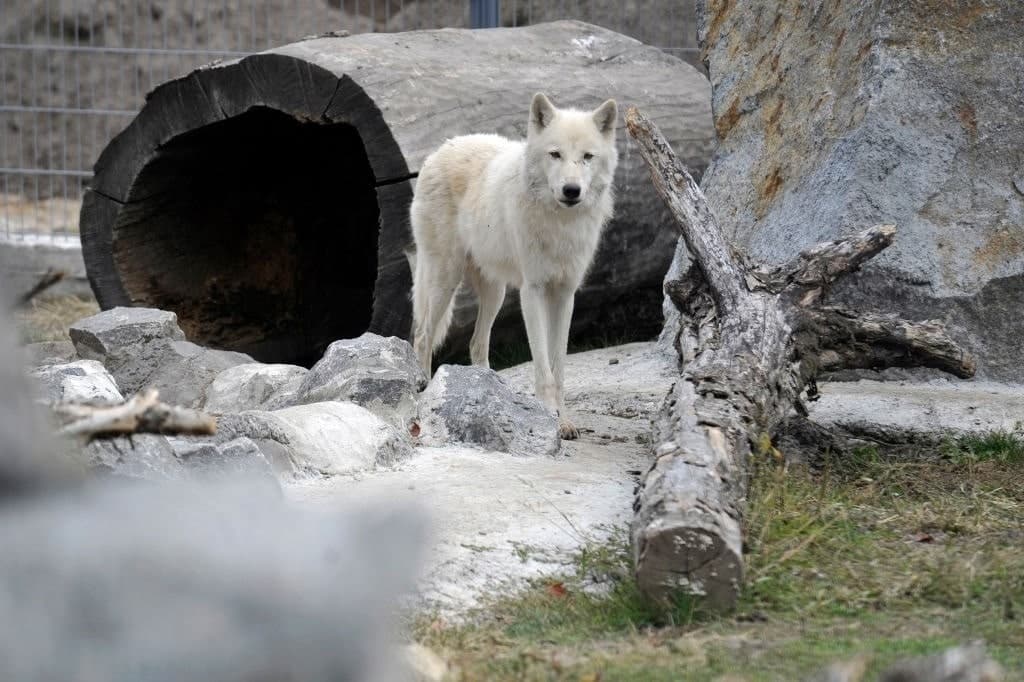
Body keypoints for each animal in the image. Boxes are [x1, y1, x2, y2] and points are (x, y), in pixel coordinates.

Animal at [410, 92, 618, 440]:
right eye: (555, 154)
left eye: (587, 157)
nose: (572, 190)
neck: (559, 223)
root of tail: (441, 149)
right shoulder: (532, 292)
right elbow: (544, 369)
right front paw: (550, 419)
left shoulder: (564, 295)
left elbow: (559, 368)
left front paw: (564, 422)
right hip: (445, 280)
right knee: (423, 336)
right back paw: (423, 386)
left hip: (494, 293)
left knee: (476, 343)